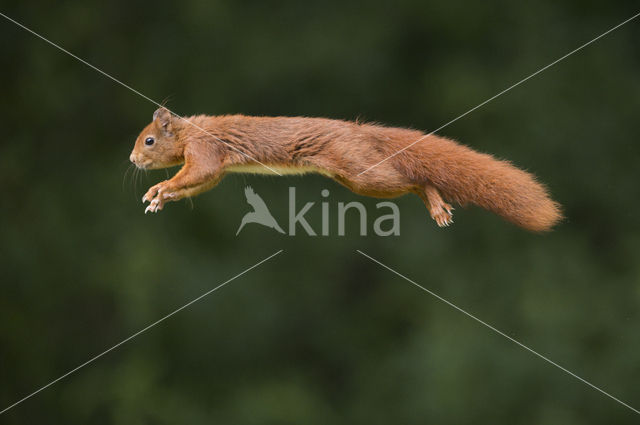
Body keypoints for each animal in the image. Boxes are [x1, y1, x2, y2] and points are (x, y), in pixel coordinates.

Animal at [129, 107, 560, 230]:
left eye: (148, 140)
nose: (132, 160)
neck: (188, 131)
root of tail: (361, 131)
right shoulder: (215, 169)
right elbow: (197, 185)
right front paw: (159, 198)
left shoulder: (205, 151)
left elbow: (195, 175)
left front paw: (158, 188)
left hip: (363, 172)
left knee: (415, 179)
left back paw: (435, 202)